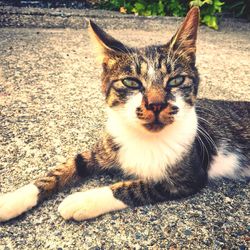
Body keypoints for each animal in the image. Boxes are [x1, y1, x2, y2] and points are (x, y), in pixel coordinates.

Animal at [0, 6, 250, 222]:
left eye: (176, 80)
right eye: (131, 82)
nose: (156, 104)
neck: (144, 138)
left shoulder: (189, 177)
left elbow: (135, 188)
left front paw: (83, 200)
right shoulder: (105, 147)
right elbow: (66, 167)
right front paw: (12, 200)